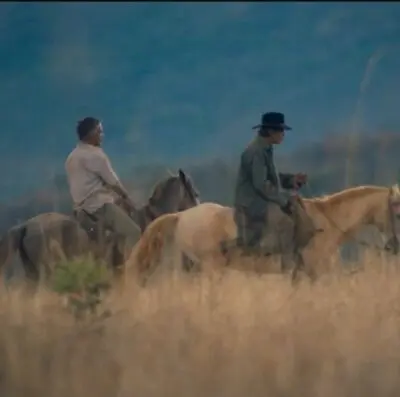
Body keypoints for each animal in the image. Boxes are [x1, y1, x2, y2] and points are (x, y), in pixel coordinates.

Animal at [126, 184, 400, 284]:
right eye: (397, 211)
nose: (393, 247)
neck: (326, 223)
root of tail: (182, 215)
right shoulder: (320, 272)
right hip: (211, 268)